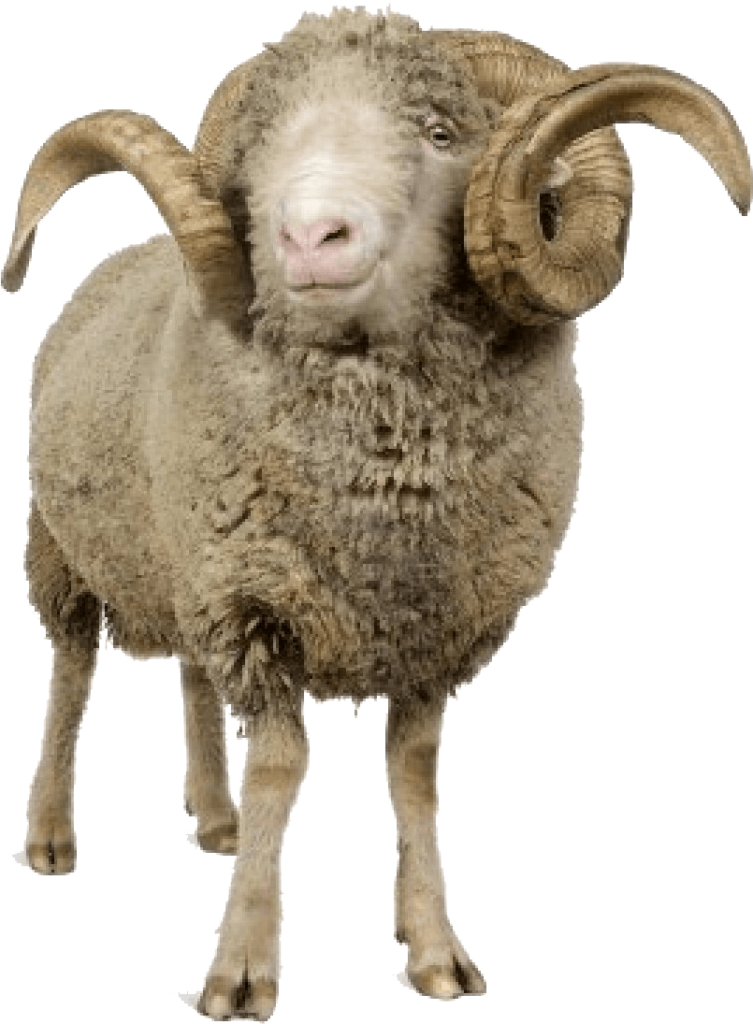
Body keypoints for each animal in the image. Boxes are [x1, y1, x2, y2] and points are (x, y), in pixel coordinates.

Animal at [4, 5, 750, 1019]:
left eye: (438, 134)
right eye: (262, 152)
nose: (310, 236)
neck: (380, 485)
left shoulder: (434, 626)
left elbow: (414, 779)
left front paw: (434, 952)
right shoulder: (255, 608)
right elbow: (281, 771)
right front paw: (239, 970)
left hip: (182, 553)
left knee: (191, 675)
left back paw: (214, 817)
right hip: (64, 549)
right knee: (73, 672)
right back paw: (50, 834)